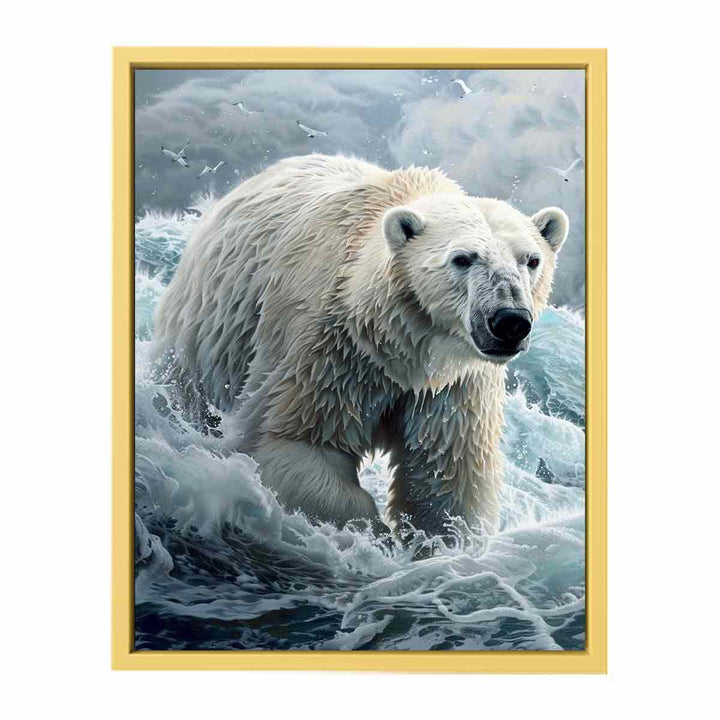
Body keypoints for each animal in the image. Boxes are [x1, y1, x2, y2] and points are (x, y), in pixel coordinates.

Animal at [152, 153, 568, 539]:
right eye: (462, 258)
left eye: (531, 260)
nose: (509, 321)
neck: (401, 344)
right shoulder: (329, 349)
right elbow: (296, 442)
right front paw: (375, 535)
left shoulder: (454, 385)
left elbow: (446, 478)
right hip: (210, 334)